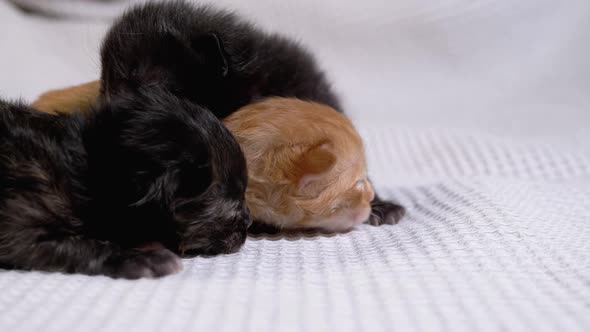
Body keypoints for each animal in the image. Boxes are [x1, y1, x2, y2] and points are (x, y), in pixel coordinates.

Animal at [0, 87, 250, 278]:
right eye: (232, 195)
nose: (248, 222)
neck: (89, 169)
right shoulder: (19, 222)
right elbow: (81, 244)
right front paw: (140, 258)